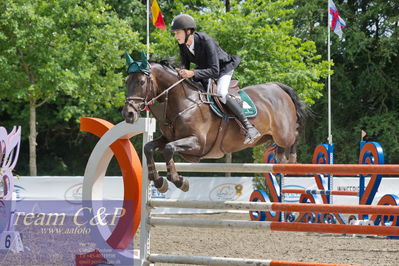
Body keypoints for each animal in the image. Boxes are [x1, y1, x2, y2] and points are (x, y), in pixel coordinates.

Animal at [122, 52, 310, 193]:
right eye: (126, 82)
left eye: (141, 82)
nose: (128, 114)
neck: (184, 102)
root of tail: (278, 87)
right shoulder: (168, 138)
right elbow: (149, 148)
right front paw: (159, 181)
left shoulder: (198, 144)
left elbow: (169, 149)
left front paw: (179, 181)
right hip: (267, 136)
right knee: (281, 145)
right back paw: (280, 159)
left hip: (283, 133)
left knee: (295, 134)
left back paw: (291, 160)